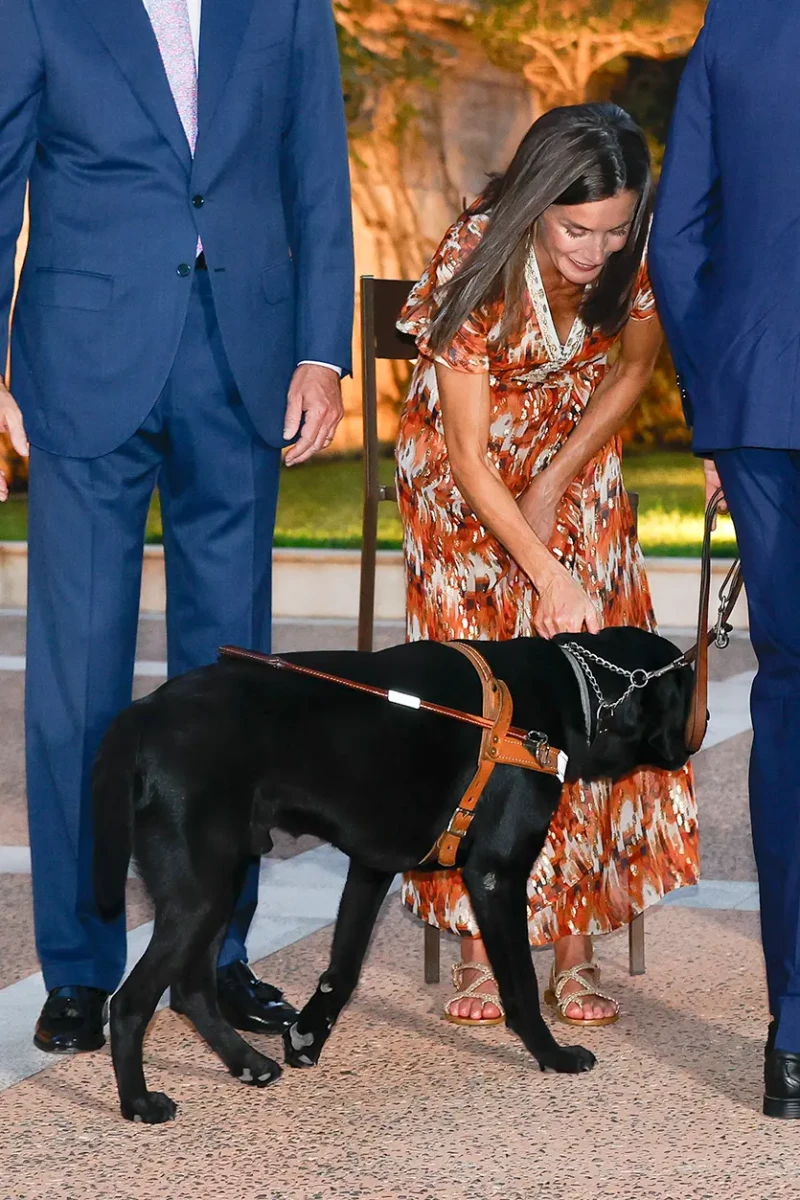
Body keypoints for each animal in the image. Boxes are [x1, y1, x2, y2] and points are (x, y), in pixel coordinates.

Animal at [92, 628, 695, 1123]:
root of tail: (145, 710)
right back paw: (138, 1103)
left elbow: (344, 965)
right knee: (130, 1002)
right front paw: (551, 1055)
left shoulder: (371, 866)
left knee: (191, 988)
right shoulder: (496, 874)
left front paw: (309, 1033)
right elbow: (520, 983)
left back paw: (247, 1063)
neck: (568, 692)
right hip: (202, 890)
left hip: (224, 878)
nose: (704, 724)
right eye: (688, 687)